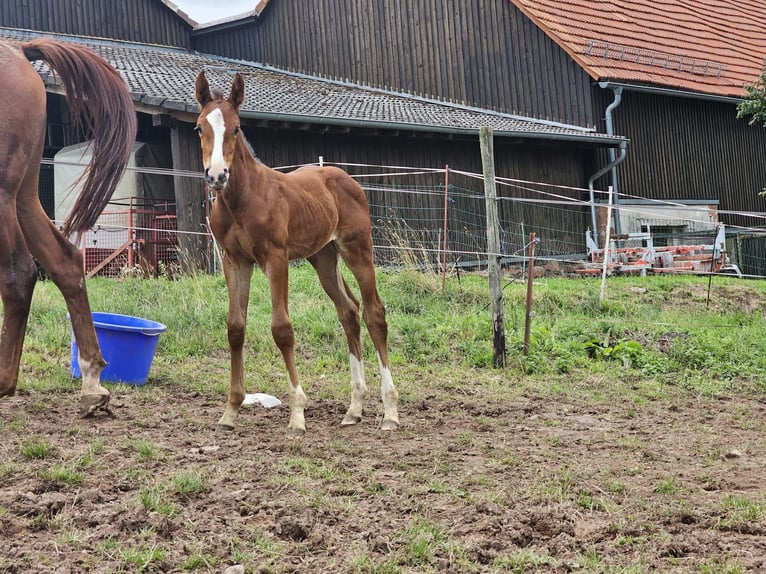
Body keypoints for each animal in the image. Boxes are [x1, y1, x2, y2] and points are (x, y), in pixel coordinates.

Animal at [195, 71, 402, 436]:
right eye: (199, 128)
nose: (217, 175)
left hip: (357, 249)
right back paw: (354, 409)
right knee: (348, 312)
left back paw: (390, 412)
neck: (242, 200)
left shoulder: (275, 260)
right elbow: (235, 328)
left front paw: (297, 415)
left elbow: (282, 329)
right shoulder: (236, 262)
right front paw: (231, 411)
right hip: (324, 257)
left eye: (235, 128)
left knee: (374, 313)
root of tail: (346, 178)